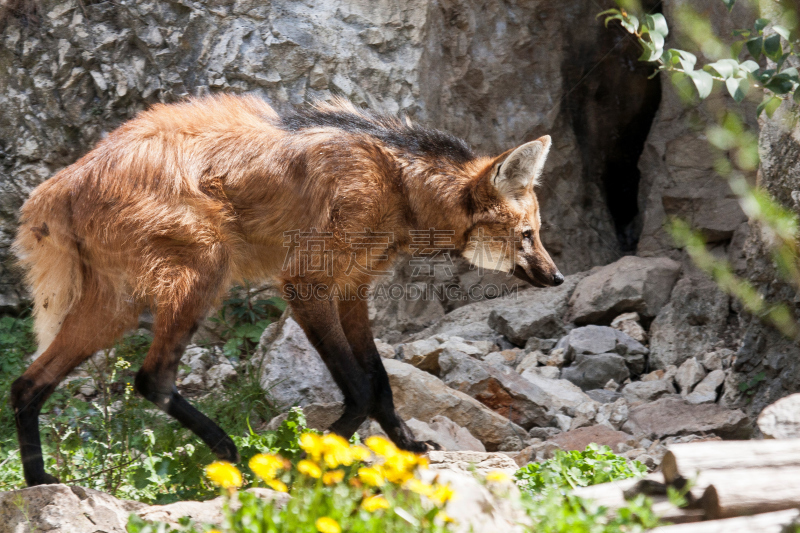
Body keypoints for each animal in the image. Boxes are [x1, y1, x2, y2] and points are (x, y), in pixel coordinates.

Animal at [10, 92, 564, 486]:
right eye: (526, 235)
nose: (556, 277)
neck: (399, 186)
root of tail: (63, 181)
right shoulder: (307, 285)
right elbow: (361, 388)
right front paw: (311, 457)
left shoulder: (351, 288)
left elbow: (380, 382)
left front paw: (408, 447)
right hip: (205, 269)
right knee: (152, 378)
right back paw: (229, 453)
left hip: (115, 305)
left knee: (27, 384)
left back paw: (39, 482)